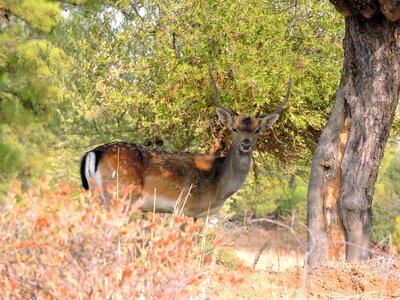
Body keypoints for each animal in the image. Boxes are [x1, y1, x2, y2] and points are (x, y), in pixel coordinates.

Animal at [79, 64, 290, 217]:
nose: (246, 143)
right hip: (121, 195)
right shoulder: (185, 208)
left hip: (94, 195)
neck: (218, 187)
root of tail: (93, 153)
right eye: (234, 129)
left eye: (257, 130)